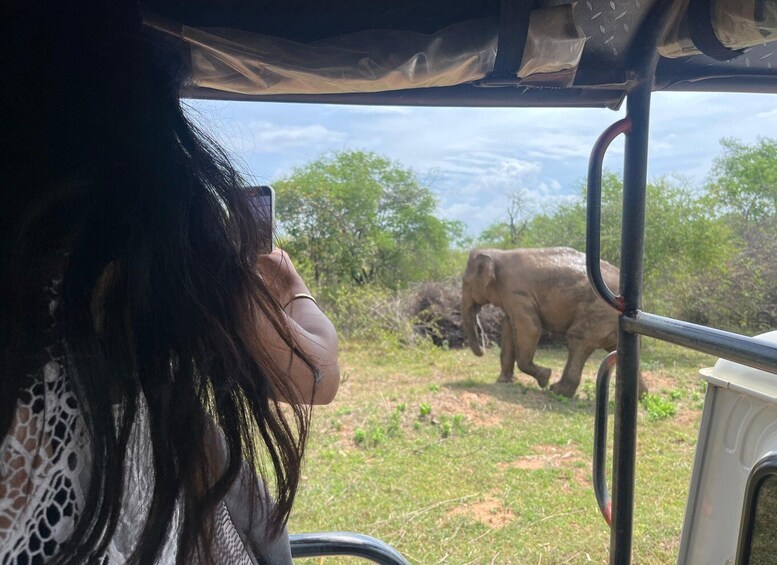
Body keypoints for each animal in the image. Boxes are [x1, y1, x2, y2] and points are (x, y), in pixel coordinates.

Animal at [458, 246, 644, 396]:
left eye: (465, 283)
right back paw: (643, 397)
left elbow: (530, 328)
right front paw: (503, 381)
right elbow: (509, 329)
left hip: (599, 310)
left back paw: (557, 391)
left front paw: (544, 377)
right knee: (616, 350)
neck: (498, 254)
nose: (483, 350)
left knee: (578, 338)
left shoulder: (517, 292)